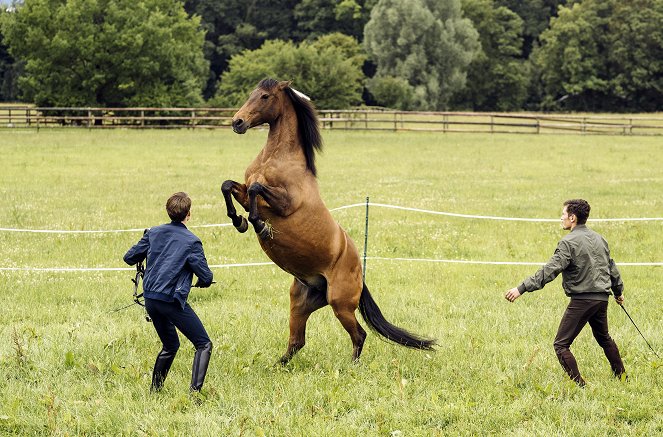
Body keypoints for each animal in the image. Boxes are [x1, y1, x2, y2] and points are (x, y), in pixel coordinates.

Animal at [222, 77, 436, 362]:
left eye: (265, 97)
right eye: (251, 93)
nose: (238, 122)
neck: (276, 160)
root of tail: (360, 272)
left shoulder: (284, 204)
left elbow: (257, 189)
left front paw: (258, 225)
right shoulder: (244, 193)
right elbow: (229, 186)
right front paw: (238, 220)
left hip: (340, 304)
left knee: (359, 335)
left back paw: (352, 366)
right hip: (300, 302)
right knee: (297, 341)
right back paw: (278, 365)